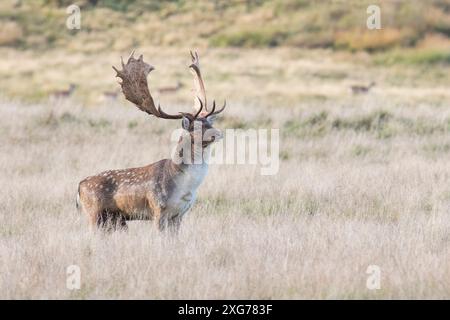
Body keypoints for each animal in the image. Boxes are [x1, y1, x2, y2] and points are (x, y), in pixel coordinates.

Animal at [77, 51, 227, 234]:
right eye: (195, 127)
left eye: (209, 123)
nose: (218, 133)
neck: (185, 188)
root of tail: (79, 186)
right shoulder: (158, 209)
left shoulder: (180, 214)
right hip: (93, 213)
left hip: (113, 219)